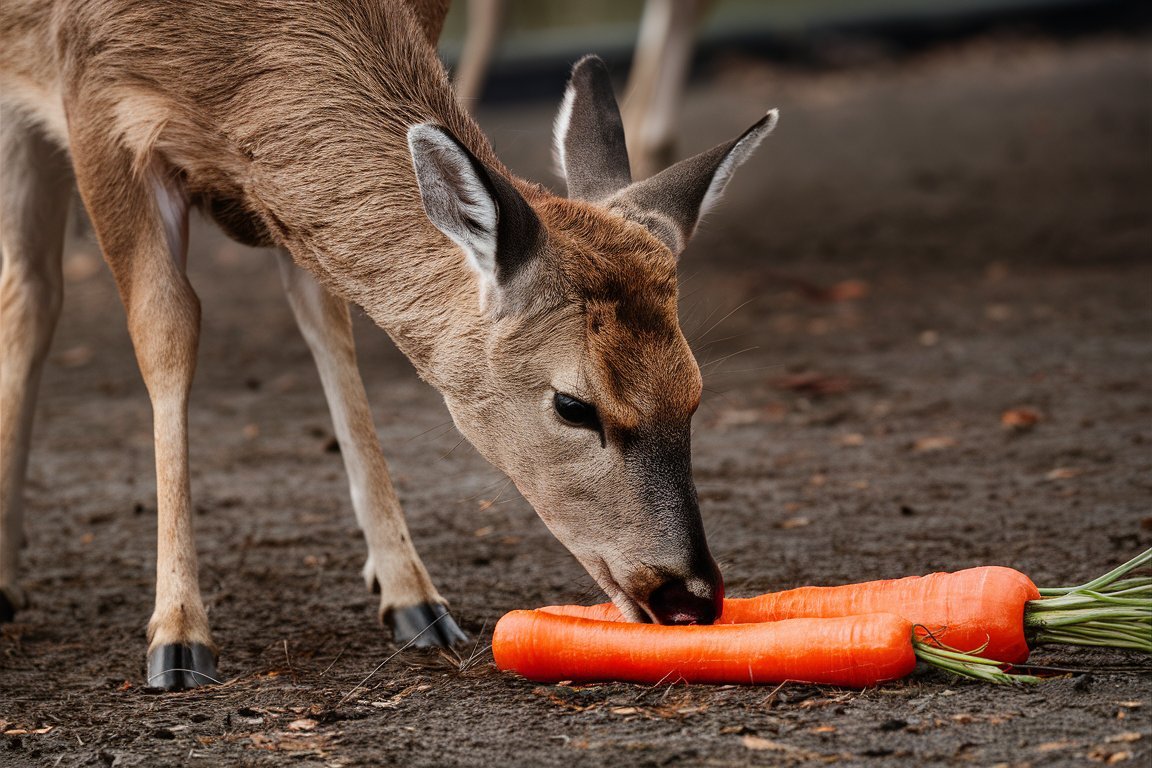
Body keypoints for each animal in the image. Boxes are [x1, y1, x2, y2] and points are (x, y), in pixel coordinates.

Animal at [0, 0, 778, 690]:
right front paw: (179, 638)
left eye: (697, 392)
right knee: (32, 288)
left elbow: (327, 309)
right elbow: (166, 334)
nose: (690, 596)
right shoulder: (94, 100)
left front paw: (414, 597)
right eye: (573, 404)